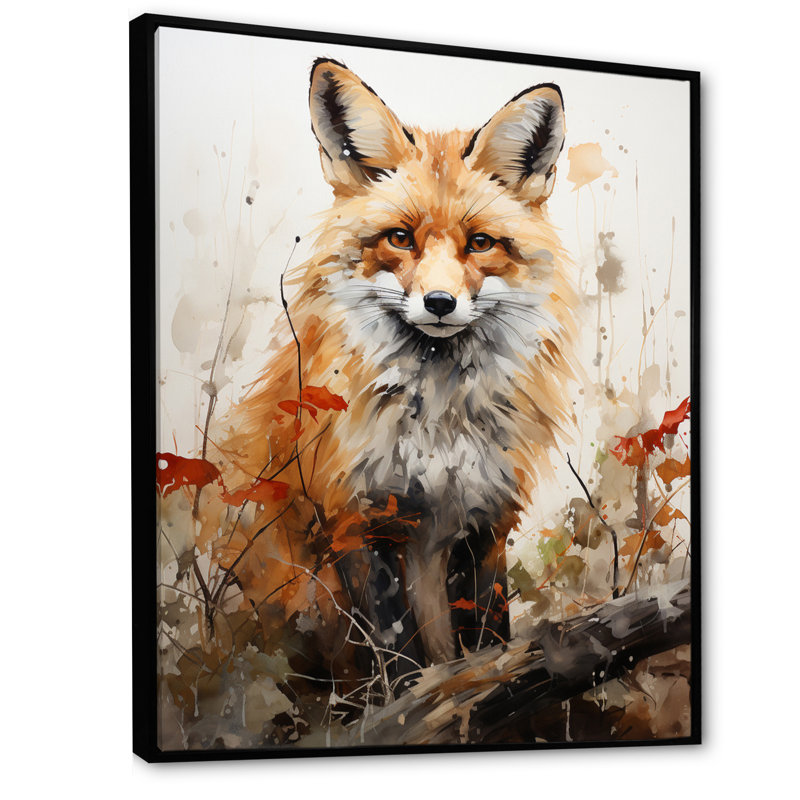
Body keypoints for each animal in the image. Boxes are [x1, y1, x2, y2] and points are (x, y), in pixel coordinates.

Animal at [209, 59, 578, 690]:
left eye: (481, 243)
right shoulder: (358, 519)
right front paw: (407, 704)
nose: (439, 303)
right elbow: (396, 654)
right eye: (400, 238)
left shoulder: (485, 519)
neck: (438, 422)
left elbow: (487, 636)